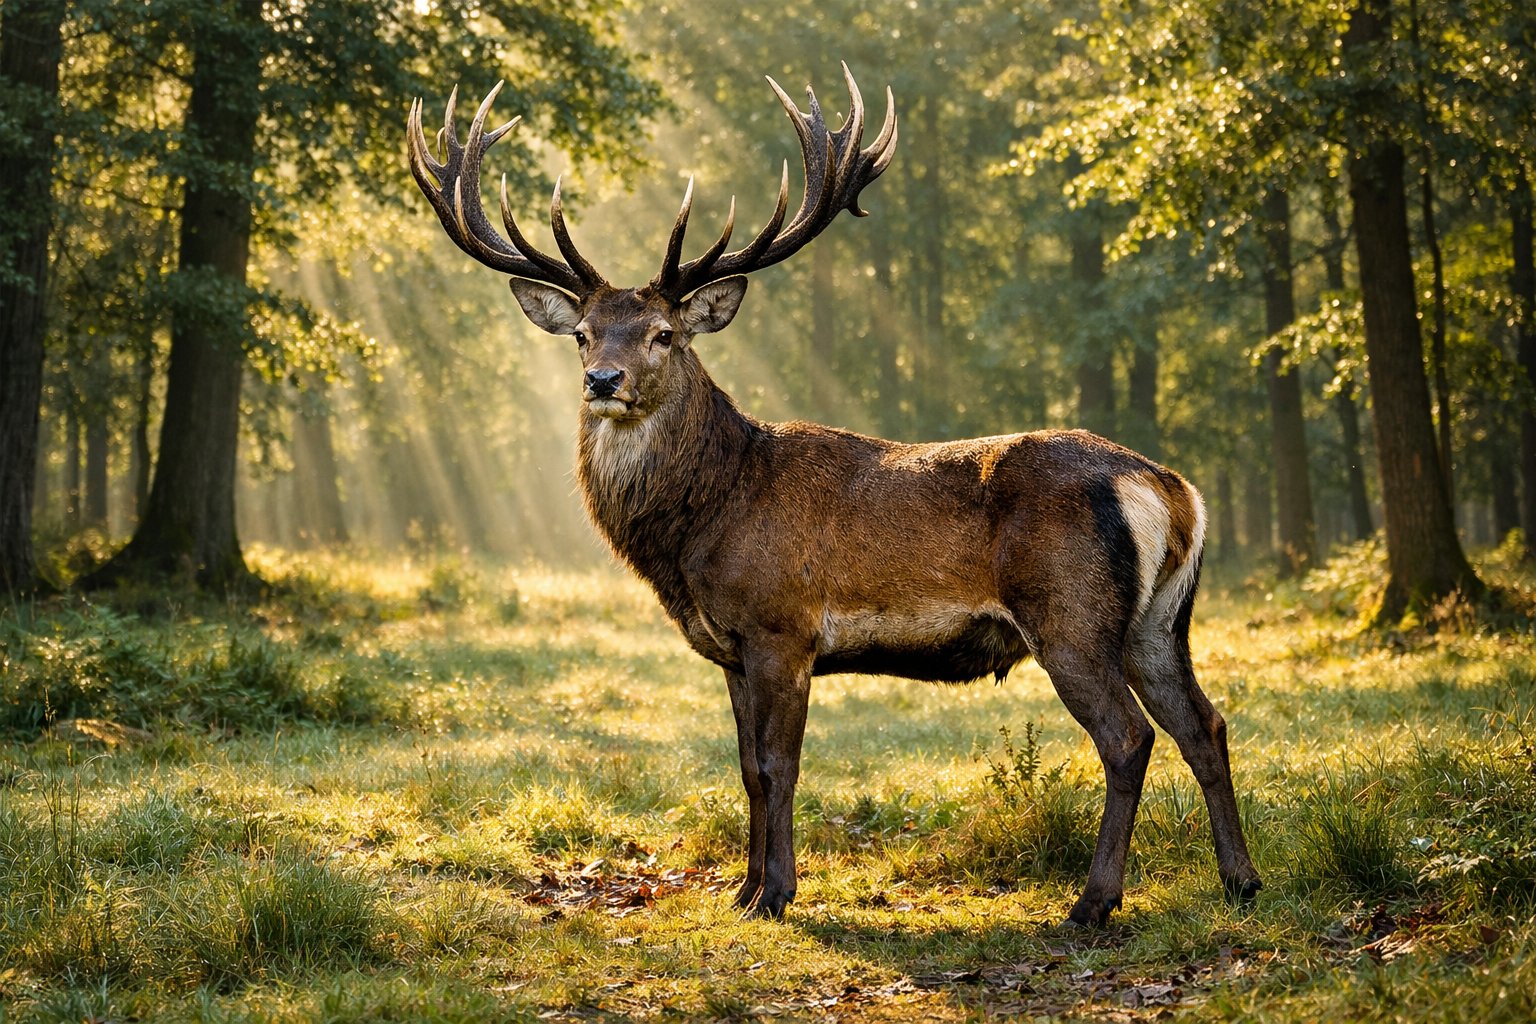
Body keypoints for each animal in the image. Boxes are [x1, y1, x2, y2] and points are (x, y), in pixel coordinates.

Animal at [406, 66, 1262, 926]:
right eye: (583, 333)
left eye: (664, 334)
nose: (602, 381)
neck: (700, 528)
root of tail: (1170, 490)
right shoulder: (731, 647)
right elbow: (746, 769)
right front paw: (743, 890)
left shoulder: (781, 625)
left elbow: (777, 768)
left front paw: (776, 893)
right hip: (1158, 621)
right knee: (1205, 723)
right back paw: (1240, 880)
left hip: (1070, 611)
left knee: (1128, 737)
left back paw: (1094, 902)